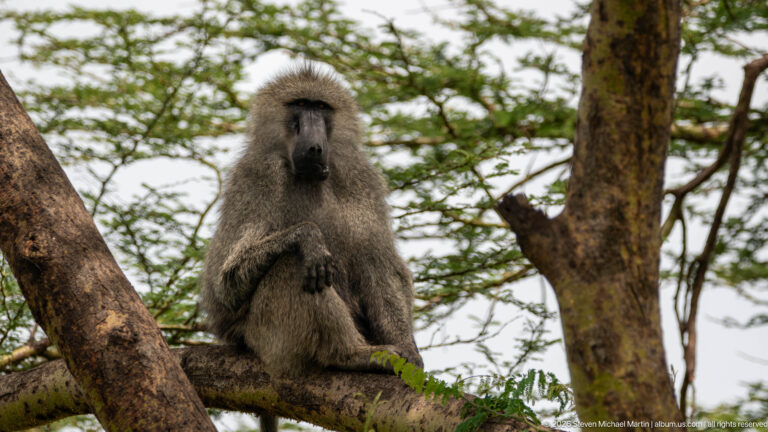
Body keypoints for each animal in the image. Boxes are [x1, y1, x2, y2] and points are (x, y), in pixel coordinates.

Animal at [200, 66, 423, 430]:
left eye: (321, 107)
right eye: (300, 105)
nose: (315, 147)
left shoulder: (362, 180)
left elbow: (380, 267)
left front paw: (409, 350)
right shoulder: (257, 177)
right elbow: (225, 284)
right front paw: (308, 235)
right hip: (266, 339)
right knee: (295, 265)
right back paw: (350, 355)